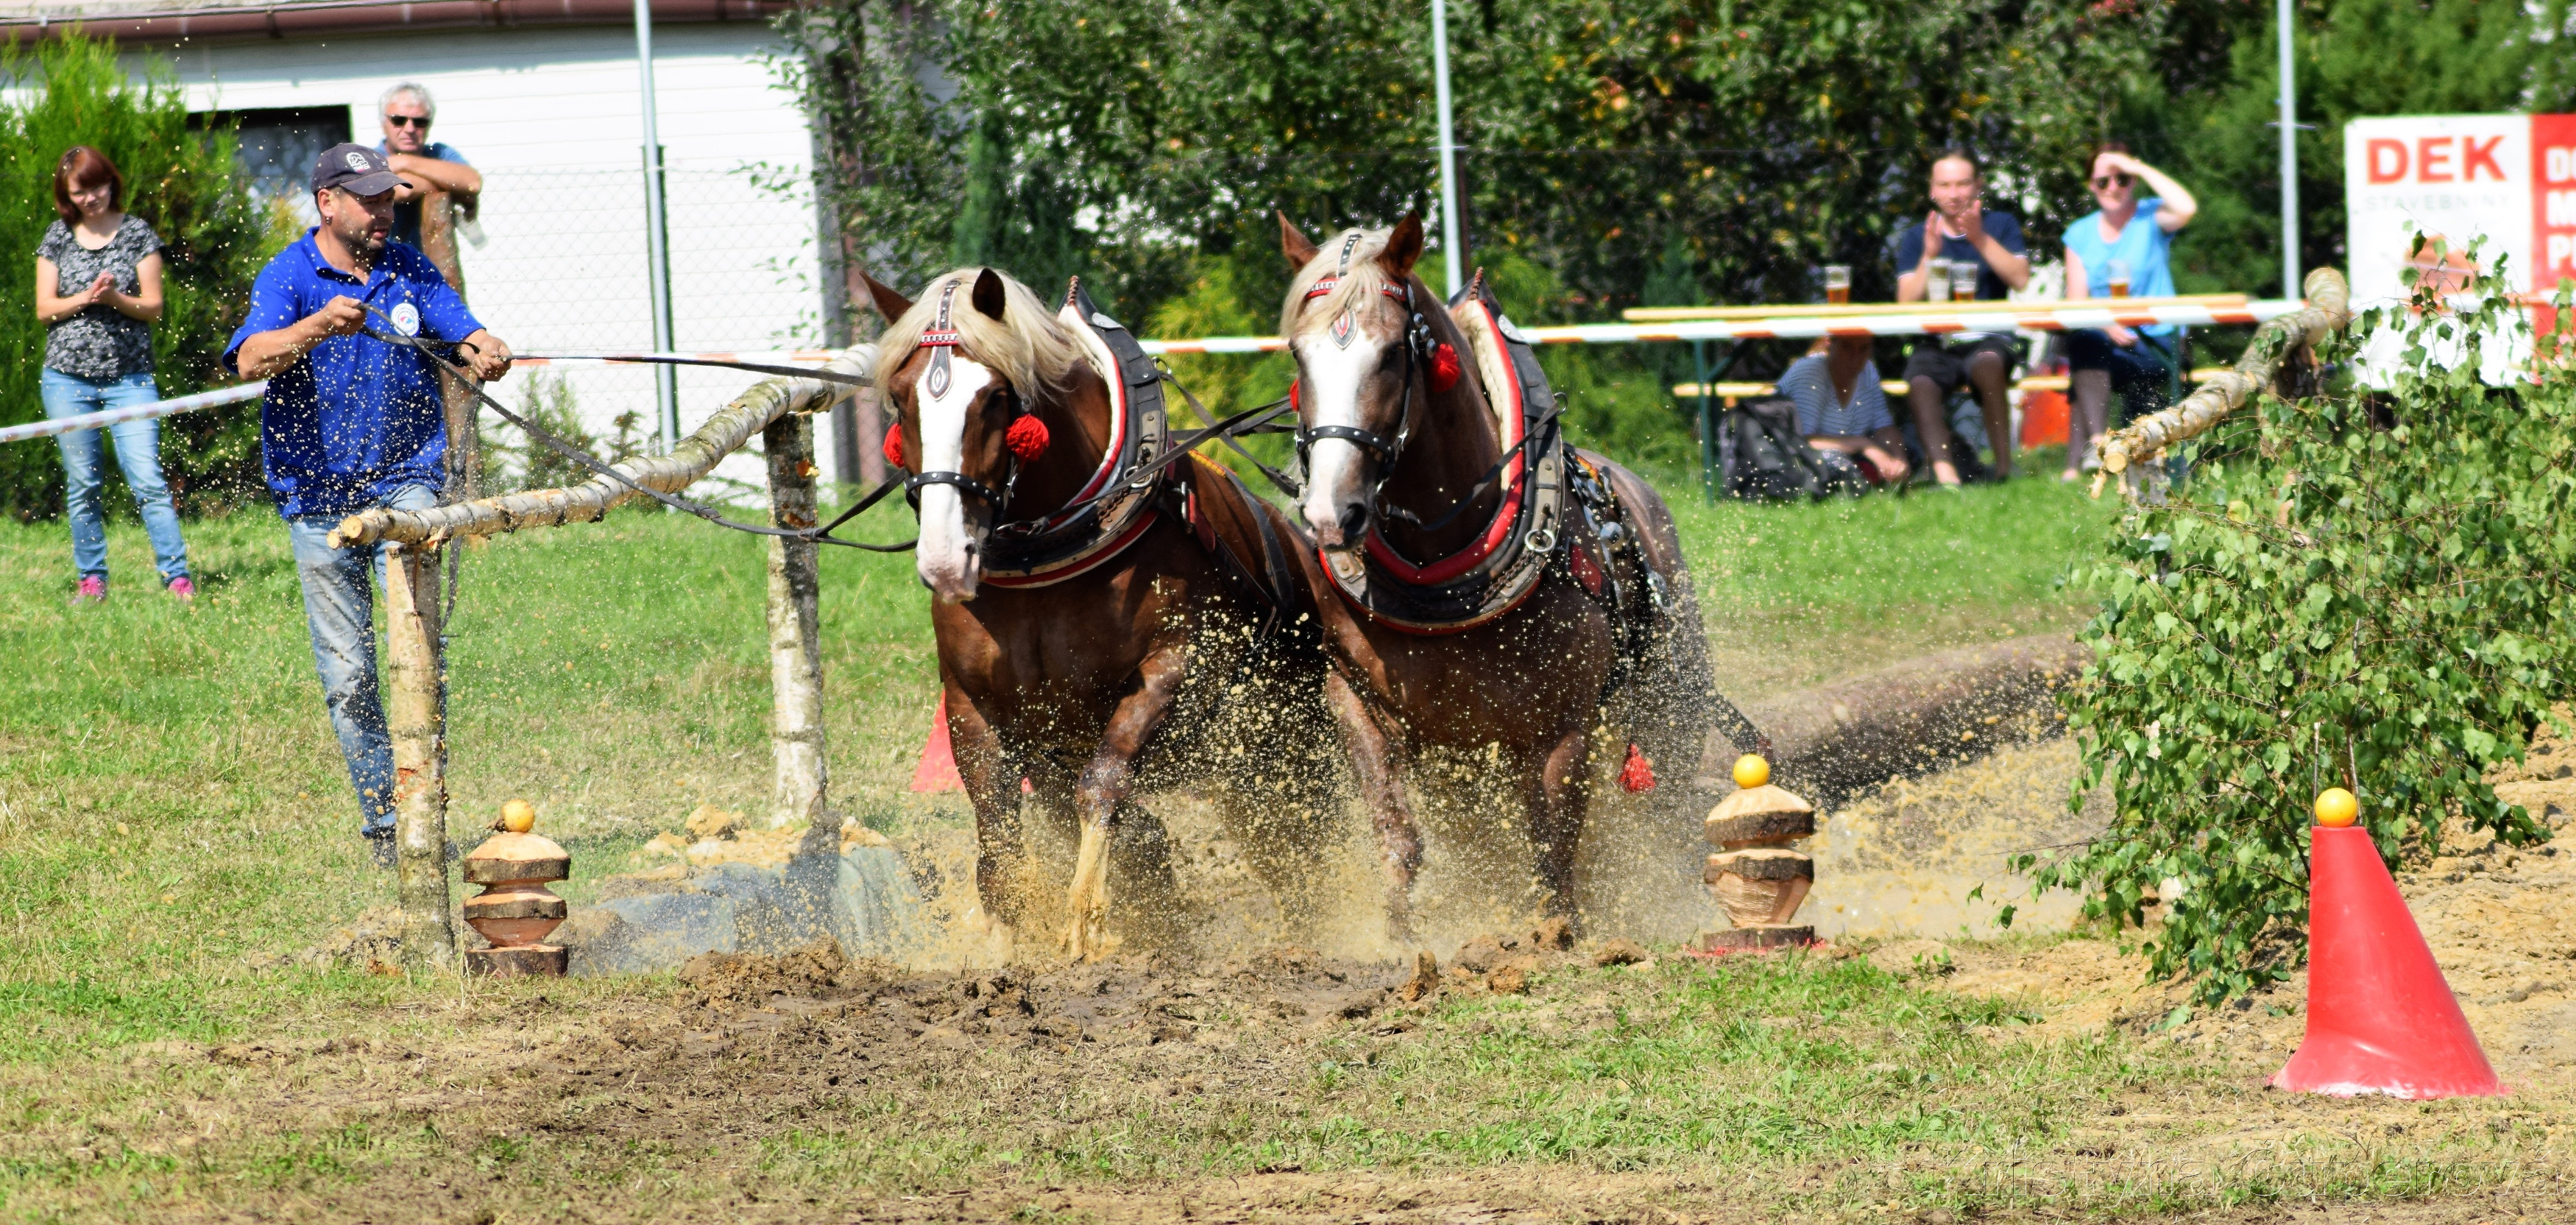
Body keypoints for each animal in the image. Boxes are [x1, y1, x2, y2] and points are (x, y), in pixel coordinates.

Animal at [871, 265, 1340, 959]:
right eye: (902, 400)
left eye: (995, 399)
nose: (945, 559)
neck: (1045, 558)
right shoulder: (968, 700)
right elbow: (997, 825)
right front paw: (1006, 935)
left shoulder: (1172, 669)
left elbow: (1105, 782)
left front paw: (1085, 920)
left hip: (1286, 745)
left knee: (1309, 840)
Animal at [1278, 215, 1762, 939]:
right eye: (1298, 355)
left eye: (1391, 355)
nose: (1332, 515)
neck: (1445, 574)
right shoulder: (1356, 700)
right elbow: (1399, 835)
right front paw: (1397, 937)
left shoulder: (1560, 725)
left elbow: (1552, 842)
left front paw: (1555, 934)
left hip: (1669, 717)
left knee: (1661, 821)